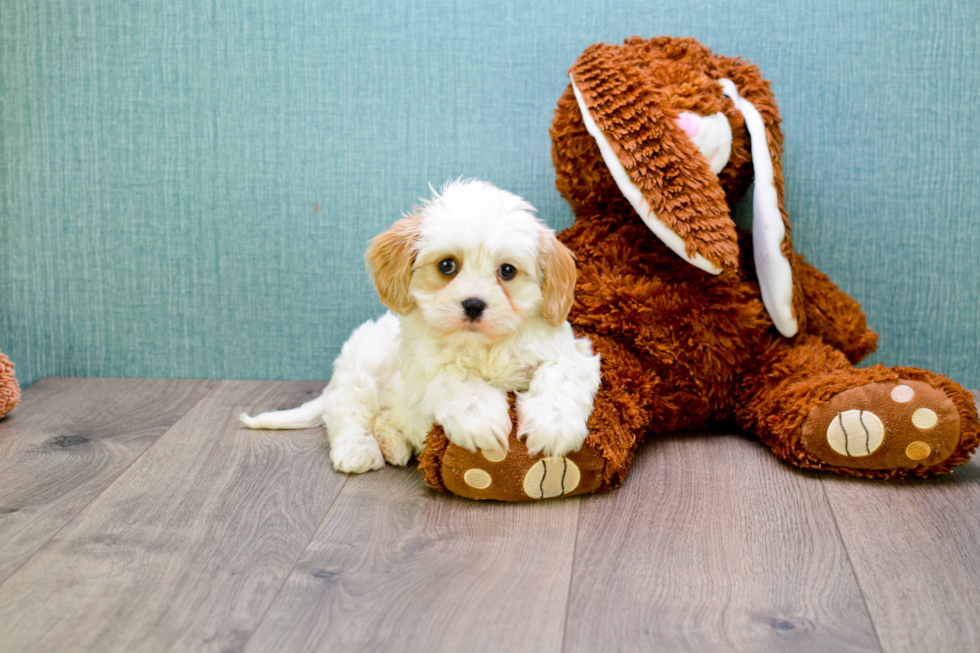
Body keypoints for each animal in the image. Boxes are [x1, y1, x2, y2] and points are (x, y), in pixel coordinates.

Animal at [241, 180, 600, 474]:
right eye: (447, 266)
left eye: (507, 271)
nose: (473, 304)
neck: (481, 345)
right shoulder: (422, 370)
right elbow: (457, 380)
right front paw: (479, 416)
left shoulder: (572, 354)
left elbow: (559, 377)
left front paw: (555, 423)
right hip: (360, 372)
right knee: (348, 415)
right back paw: (360, 451)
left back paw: (394, 445)